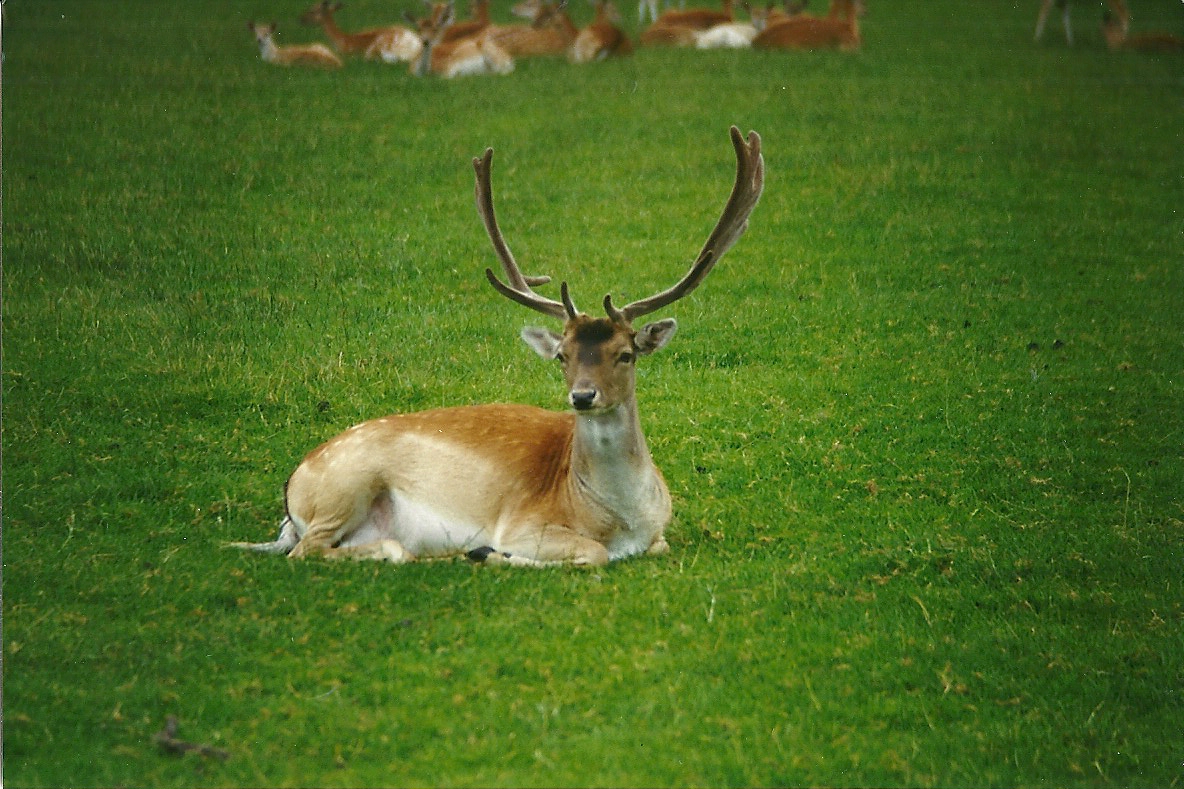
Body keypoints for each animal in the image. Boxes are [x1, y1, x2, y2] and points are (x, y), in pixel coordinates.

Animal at [230, 126, 764, 567]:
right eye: (562, 355)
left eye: (626, 354)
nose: (582, 396)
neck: (624, 519)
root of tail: (292, 487)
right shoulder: (525, 523)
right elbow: (592, 554)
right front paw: (493, 553)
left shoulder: (659, 535)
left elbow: (658, 545)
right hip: (345, 484)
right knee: (310, 550)